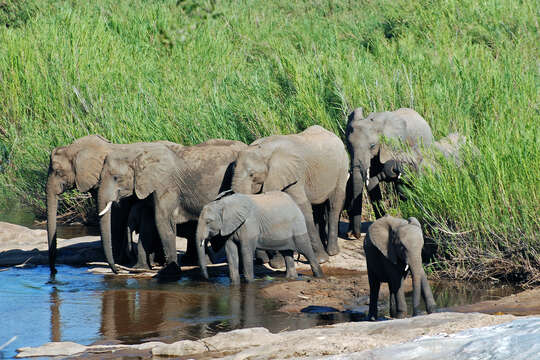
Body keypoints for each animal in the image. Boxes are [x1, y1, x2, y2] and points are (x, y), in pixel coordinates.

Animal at [97, 139, 247, 274]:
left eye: (116, 178)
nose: (117, 270)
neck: (137, 152)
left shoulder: (165, 183)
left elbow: (163, 220)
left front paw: (171, 271)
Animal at [230, 125, 348, 262]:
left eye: (252, 174)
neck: (264, 149)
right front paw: (277, 262)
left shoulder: (294, 174)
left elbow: (302, 209)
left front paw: (321, 260)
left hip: (342, 168)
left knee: (334, 205)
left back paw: (332, 252)